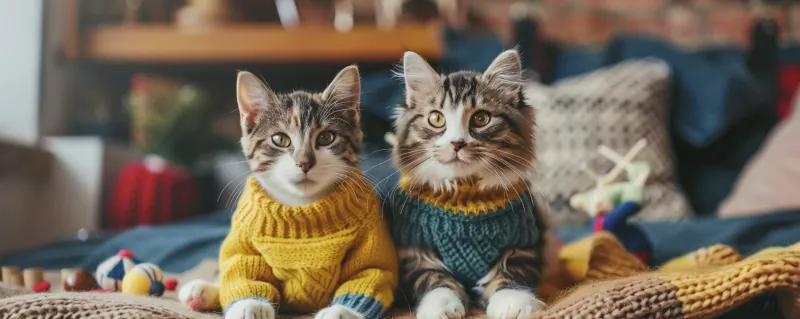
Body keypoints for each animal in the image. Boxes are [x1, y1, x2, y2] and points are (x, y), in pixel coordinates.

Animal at [390, 50, 556, 319]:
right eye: (436, 118)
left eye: (481, 118)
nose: (457, 143)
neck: (465, 199)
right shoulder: (414, 248)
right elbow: (433, 279)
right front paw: (441, 307)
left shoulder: (523, 241)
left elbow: (510, 274)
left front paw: (513, 303)